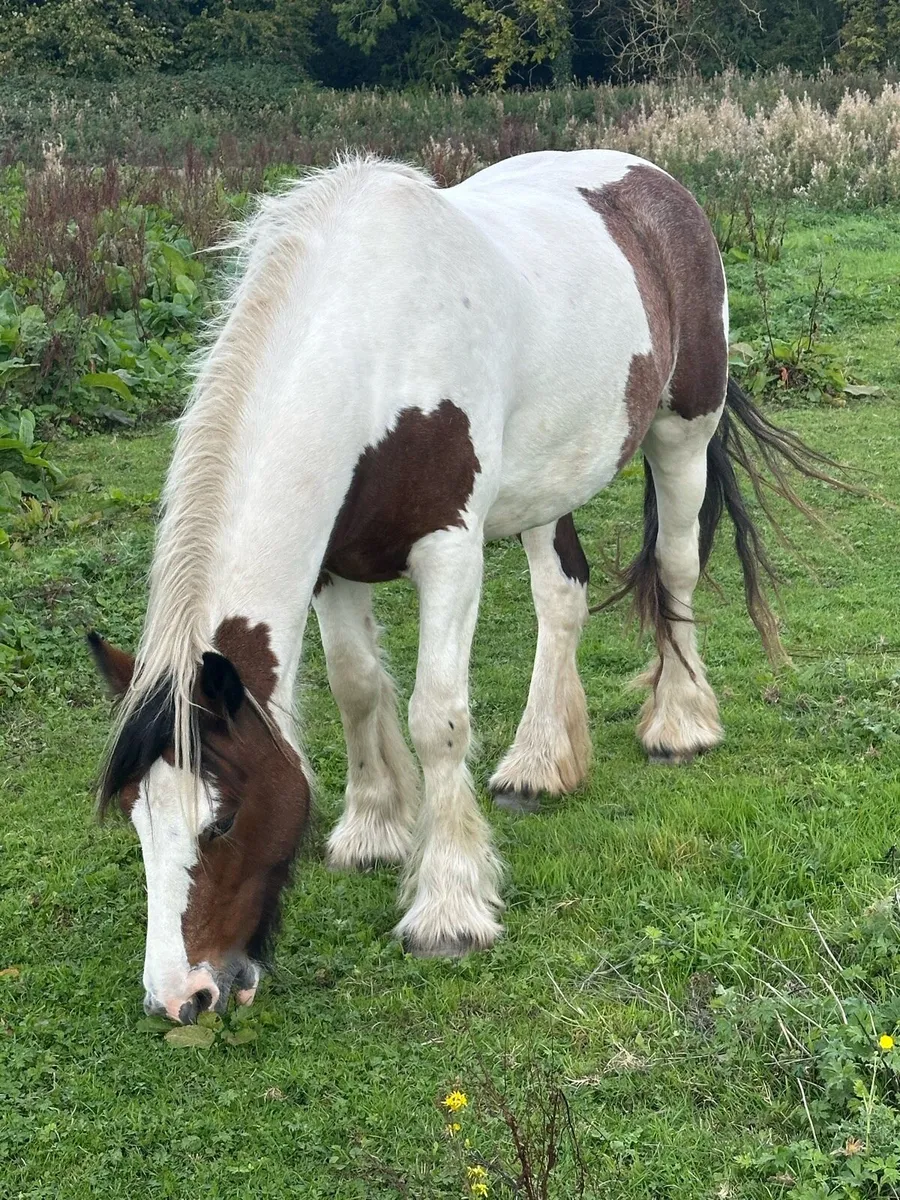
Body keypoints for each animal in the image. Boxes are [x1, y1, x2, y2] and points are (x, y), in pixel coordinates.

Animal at [89, 150, 840, 1024]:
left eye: (222, 820)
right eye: (136, 820)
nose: (182, 996)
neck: (372, 347)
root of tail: (654, 180)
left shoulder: (450, 553)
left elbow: (435, 719)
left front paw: (447, 908)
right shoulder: (336, 563)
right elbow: (355, 688)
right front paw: (374, 829)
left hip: (683, 431)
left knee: (678, 569)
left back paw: (680, 723)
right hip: (552, 482)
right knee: (562, 598)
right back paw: (539, 762)